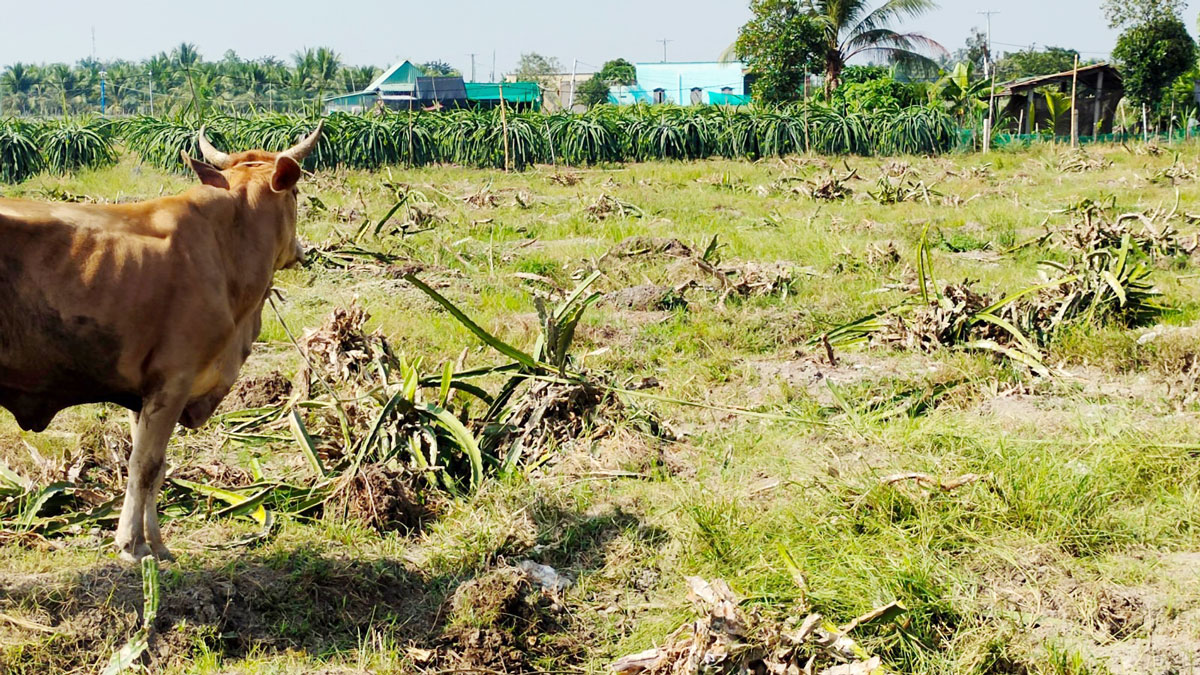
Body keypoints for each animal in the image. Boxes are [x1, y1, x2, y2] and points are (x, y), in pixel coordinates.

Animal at [0, 123, 321, 559]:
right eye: (297, 192)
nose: (302, 250)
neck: (225, 248)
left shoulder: (143, 393)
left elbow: (156, 466)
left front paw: (156, 543)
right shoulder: (174, 380)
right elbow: (145, 465)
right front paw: (132, 544)